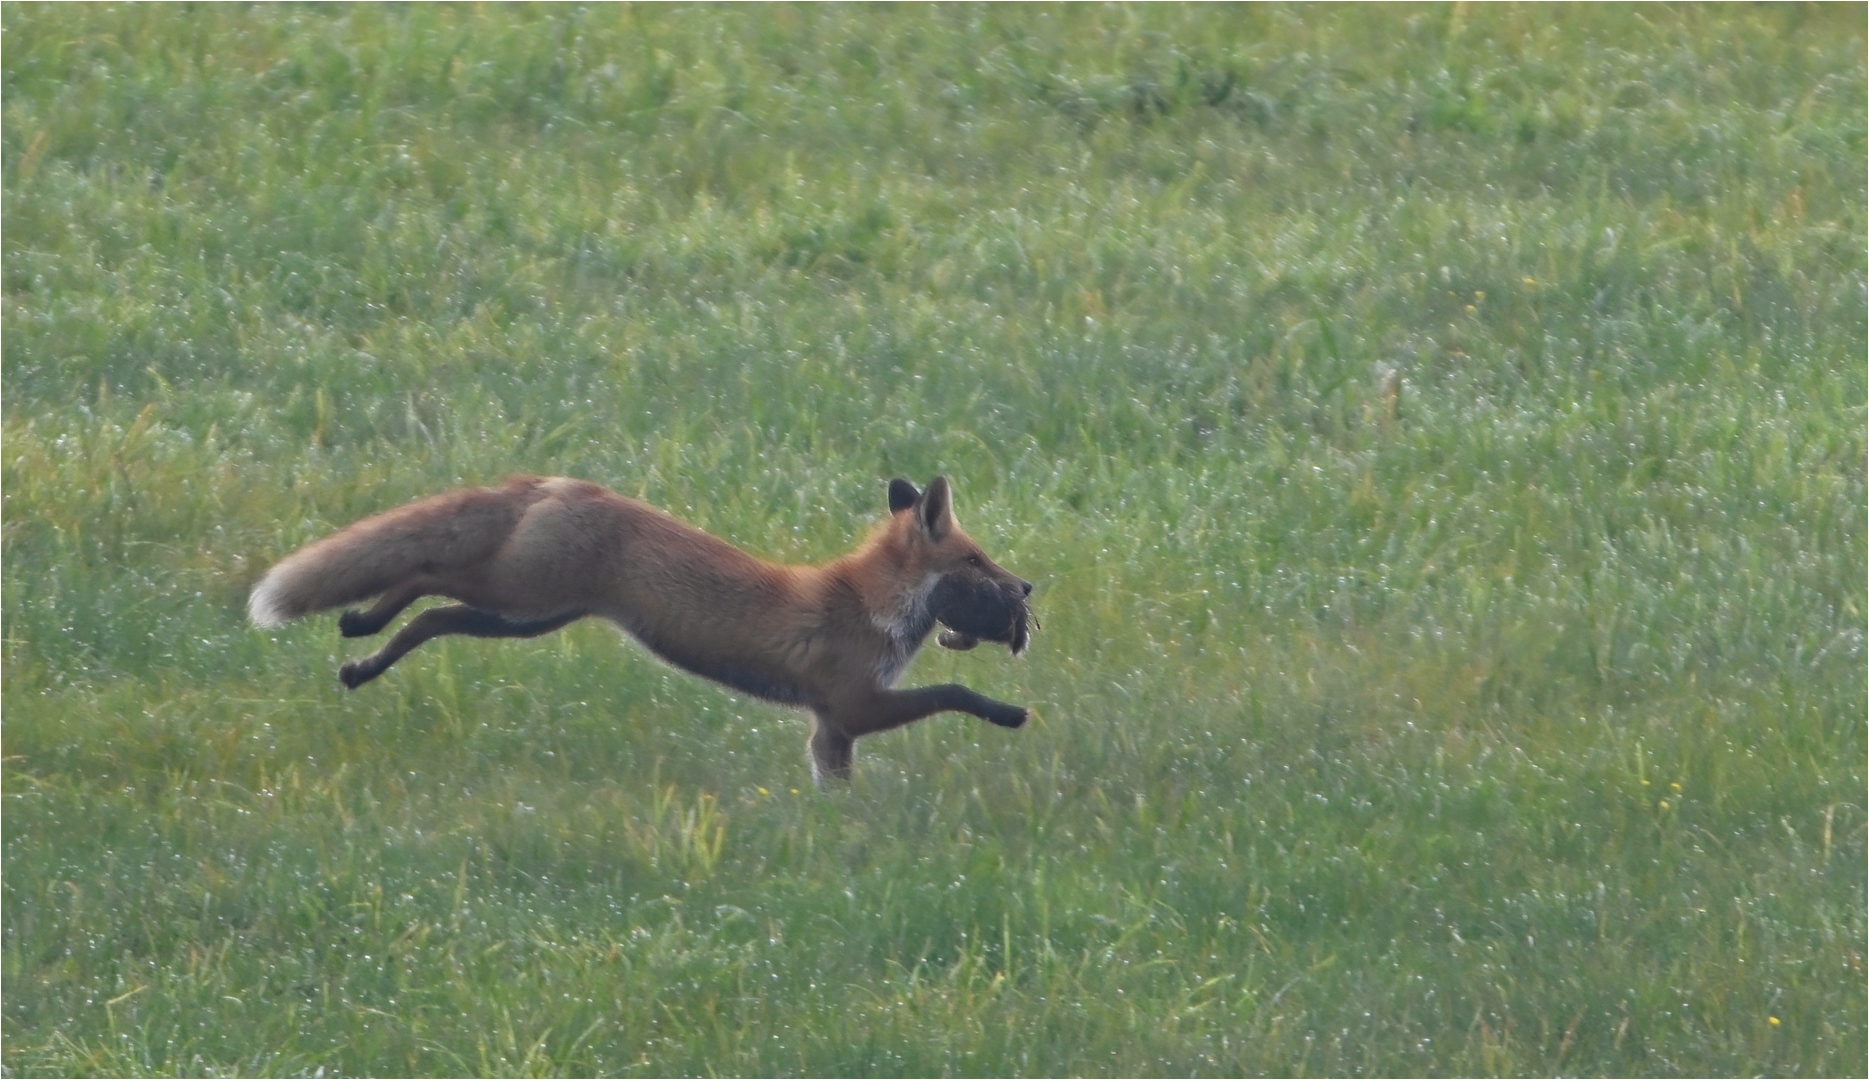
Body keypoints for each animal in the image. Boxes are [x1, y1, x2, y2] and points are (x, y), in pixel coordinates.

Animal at [244, 474, 1039, 777]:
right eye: (977, 560)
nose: (1027, 589)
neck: (872, 603)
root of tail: (560, 482)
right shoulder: (855, 703)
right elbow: (955, 694)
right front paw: (1006, 712)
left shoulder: (829, 729)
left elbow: (833, 782)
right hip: (518, 593)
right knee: (424, 572)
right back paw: (360, 620)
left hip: (523, 617)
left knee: (431, 614)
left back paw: (361, 662)